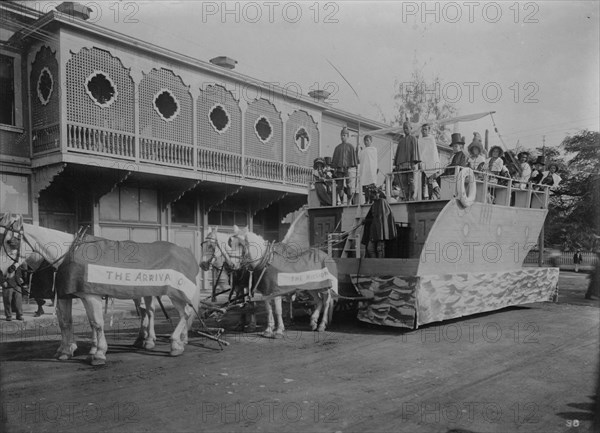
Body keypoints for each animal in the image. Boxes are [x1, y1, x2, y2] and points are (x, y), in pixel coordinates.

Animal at [0, 213, 203, 364]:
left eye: (11, 242)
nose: (3, 273)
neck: (68, 254)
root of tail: (186, 252)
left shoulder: (91, 296)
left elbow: (97, 323)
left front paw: (98, 353)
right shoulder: (68, 296)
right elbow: (67, 323)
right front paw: (67, 351)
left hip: (175, 293)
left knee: (182, 313)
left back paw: (174, 343)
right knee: (160, 313)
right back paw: (165, 341)